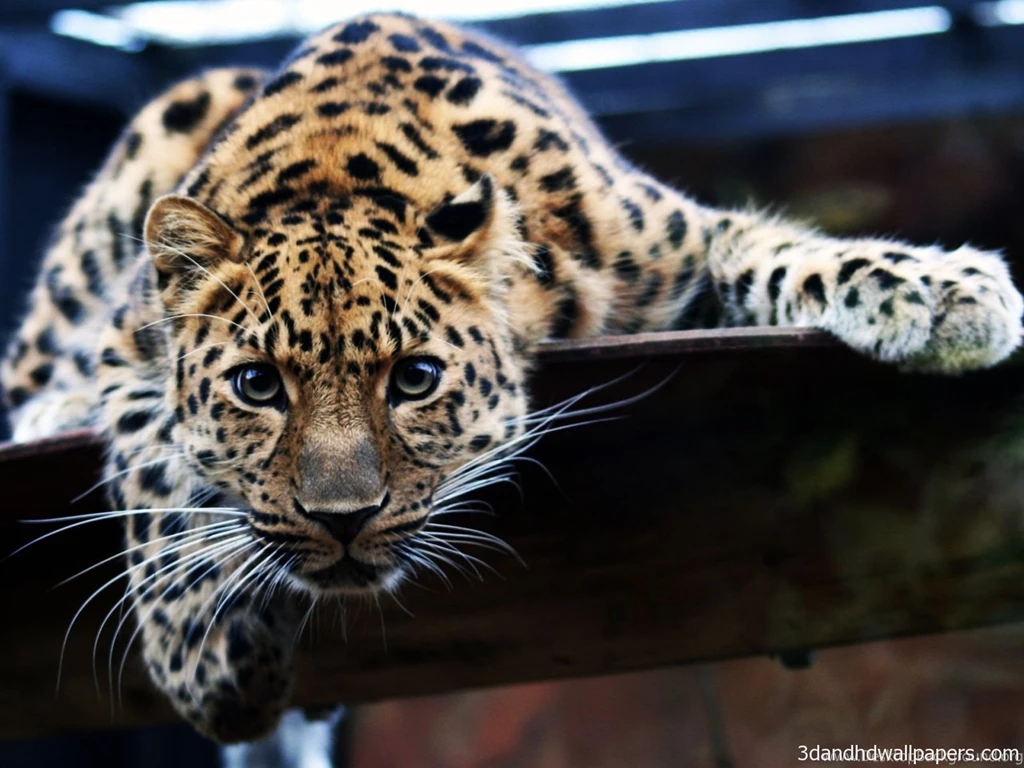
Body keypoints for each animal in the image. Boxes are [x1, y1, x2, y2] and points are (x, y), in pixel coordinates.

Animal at [2, 13, 1022, 743]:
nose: (342, 520)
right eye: (258, 387)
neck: (336, 173)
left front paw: (947, 294)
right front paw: (212, 662)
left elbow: (780, 253)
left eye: (415, 379)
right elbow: (155, 487)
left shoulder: (678, 245)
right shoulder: (129, 350)